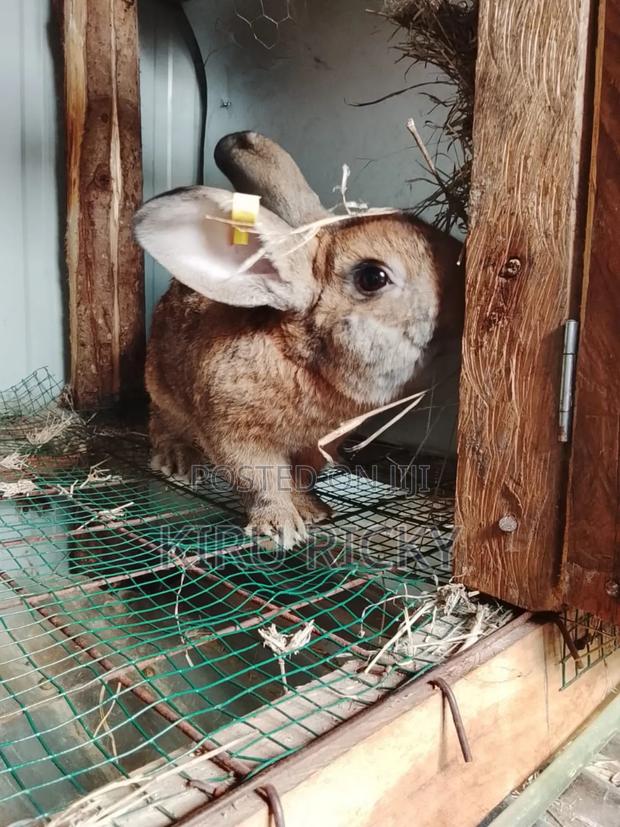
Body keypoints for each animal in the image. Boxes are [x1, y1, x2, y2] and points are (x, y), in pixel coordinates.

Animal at [134, 134, 464, 549]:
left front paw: (313, 510)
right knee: (161, 424)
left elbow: (302, 476)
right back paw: (177, 460)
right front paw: (280, 528)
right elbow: (260, 479)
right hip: (162, 394)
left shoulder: (320, 445)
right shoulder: (236, 432)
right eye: (372, 277)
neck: (301, 359)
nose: (463, 273)